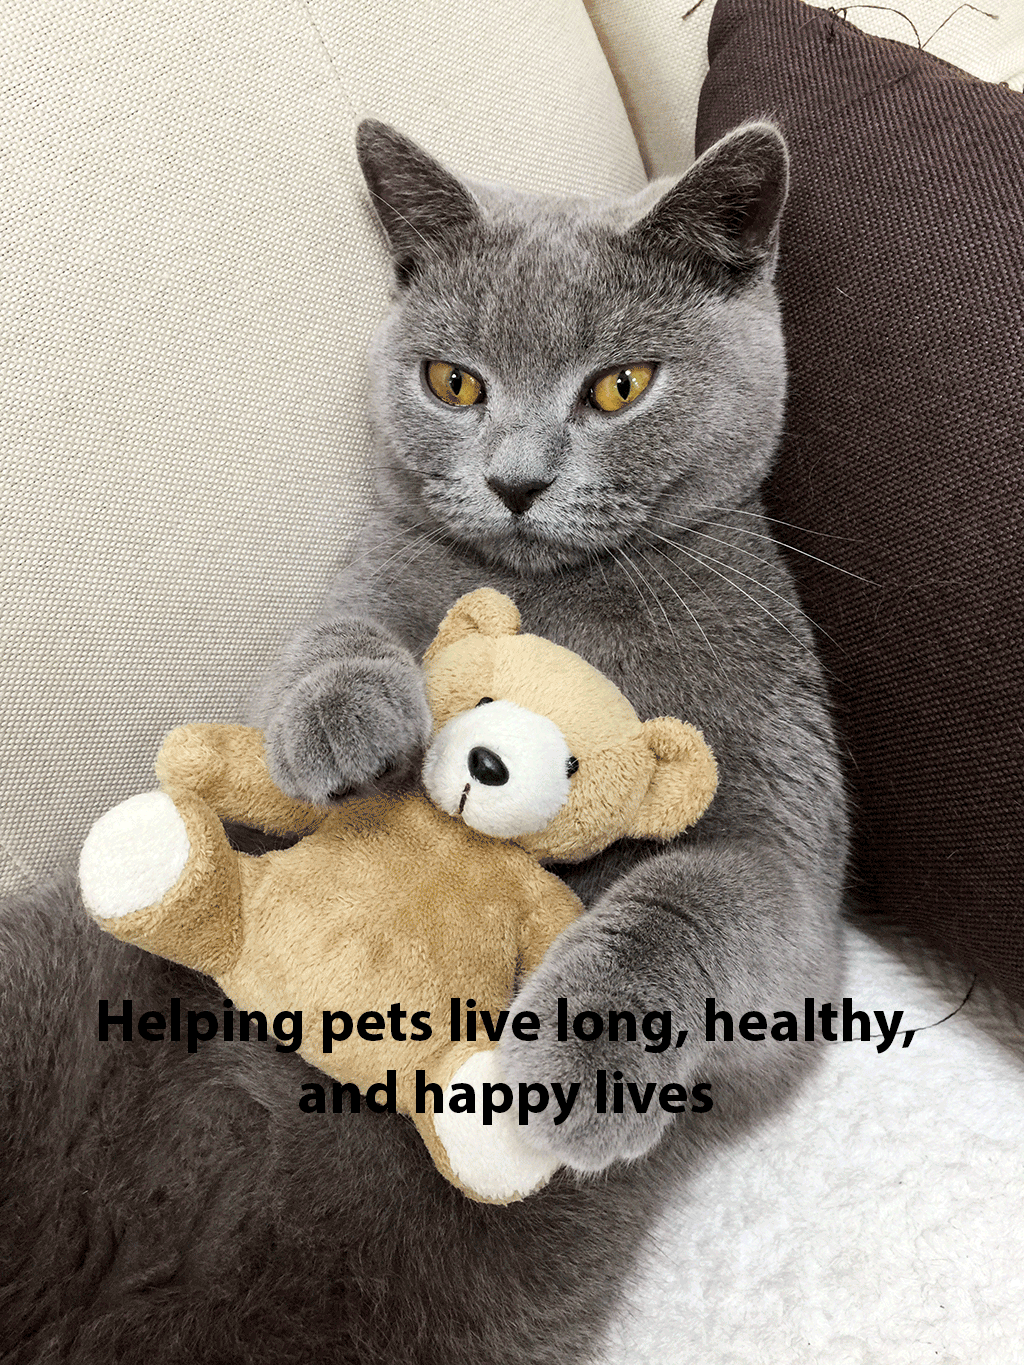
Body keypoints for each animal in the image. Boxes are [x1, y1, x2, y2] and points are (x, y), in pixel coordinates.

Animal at [2, 122, 851, 1359]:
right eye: (455, 382)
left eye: (620, 387)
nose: (514, 480)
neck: (548, 599)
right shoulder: (350, 594)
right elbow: (320, 647)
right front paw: (347, 713)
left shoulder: (795, 877)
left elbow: (702, 894)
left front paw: (583, 1059)